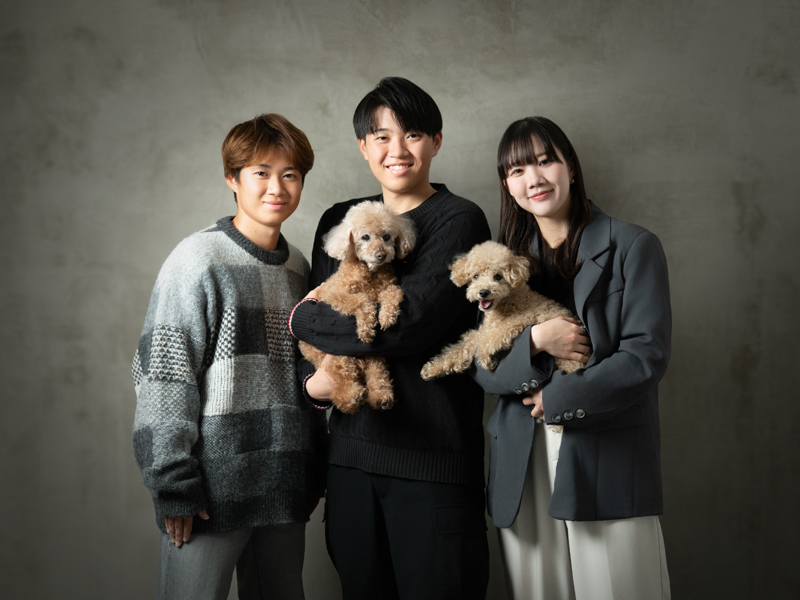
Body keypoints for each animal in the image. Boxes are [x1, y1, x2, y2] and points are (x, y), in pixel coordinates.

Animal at [300, 201, 416, 413]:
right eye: (365, 237)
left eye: (387, 236)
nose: (381, 255)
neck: (370, 272)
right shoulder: (335, 296)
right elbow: (362, 300)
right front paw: (365, 327)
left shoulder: (388, 286)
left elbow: (392, 293)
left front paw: (386, 316)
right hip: (338, 354)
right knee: (341, 381)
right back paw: (351, 396)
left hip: (373, 355)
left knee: (377, 373)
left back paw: (381, 397)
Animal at [420, 241, 583, 380]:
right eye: (476, 276)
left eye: (498, 277)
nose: (483, 292)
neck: (507, 301)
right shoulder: (483, 330)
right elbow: (463, 347)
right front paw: (433, 368)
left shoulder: (519, 319)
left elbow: (489, 339)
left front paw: (486, 359)